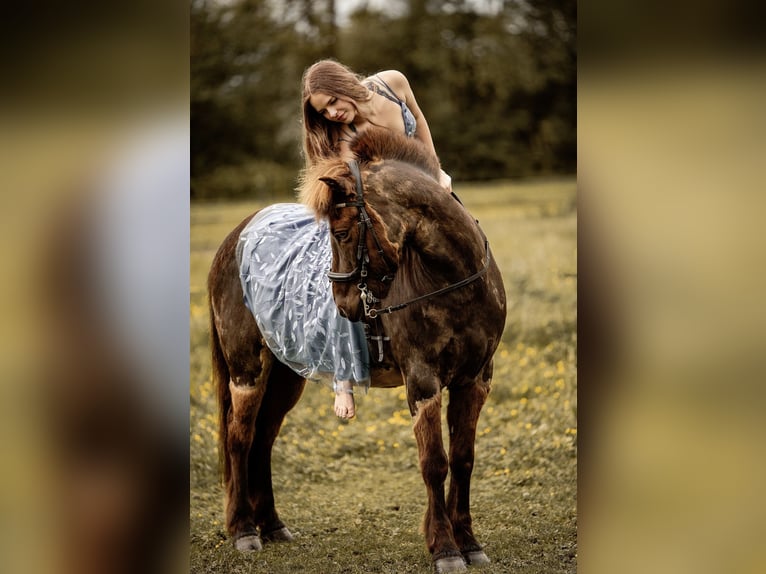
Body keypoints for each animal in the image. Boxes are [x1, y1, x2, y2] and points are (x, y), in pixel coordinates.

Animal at [210, 128, 510, 572]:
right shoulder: (423, 381)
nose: (344, 303)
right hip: (246, 369)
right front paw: (445, 549)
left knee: (263, 438)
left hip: (286, 375)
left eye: (341, 232)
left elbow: (463, 459)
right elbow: (434, 463)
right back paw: (245, 530)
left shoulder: (474, 380)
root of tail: (237, 236)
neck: (454, 280)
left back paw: (273, 525)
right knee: (240, 438)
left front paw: (470, 543)